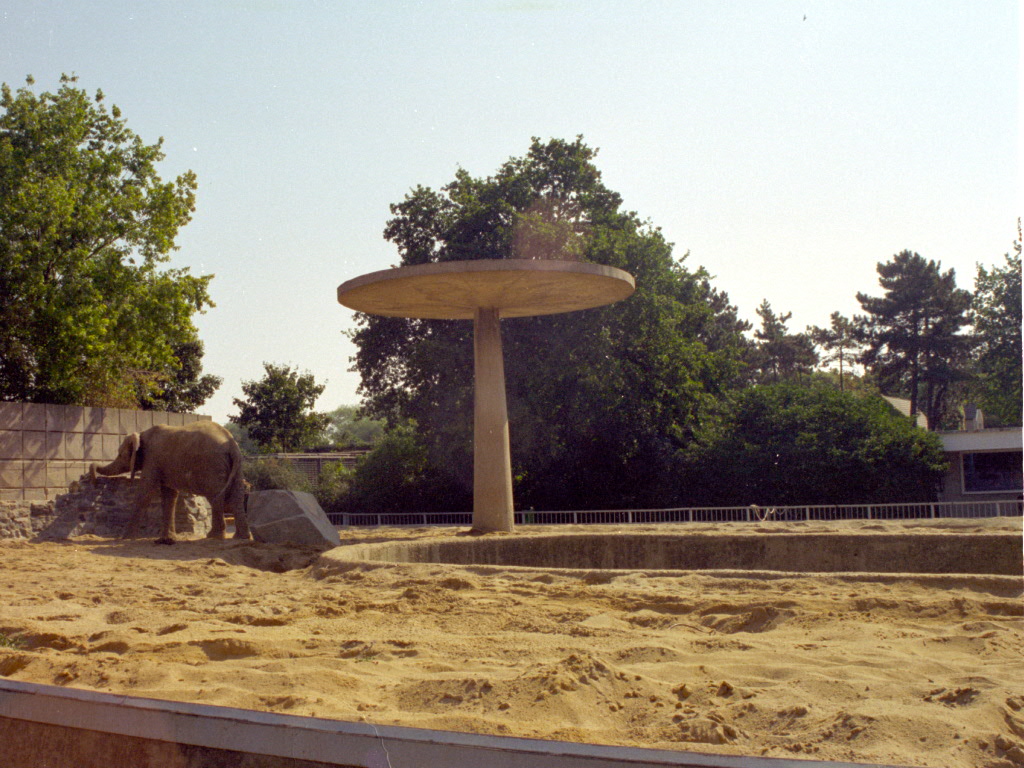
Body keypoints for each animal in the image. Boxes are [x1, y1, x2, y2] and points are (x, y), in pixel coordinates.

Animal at [90, 421, 250, 545]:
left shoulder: (152, 459)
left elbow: (145, 493)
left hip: (212, 466)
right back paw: (240, 537)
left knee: (215, 496)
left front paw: (124, 538)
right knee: (236, 497)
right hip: (235, 467)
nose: (93, 479)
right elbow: (169, 496)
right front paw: (168, 538)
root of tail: (231, 444)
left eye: (120, 455)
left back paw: (214, 536)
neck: (142, 433)